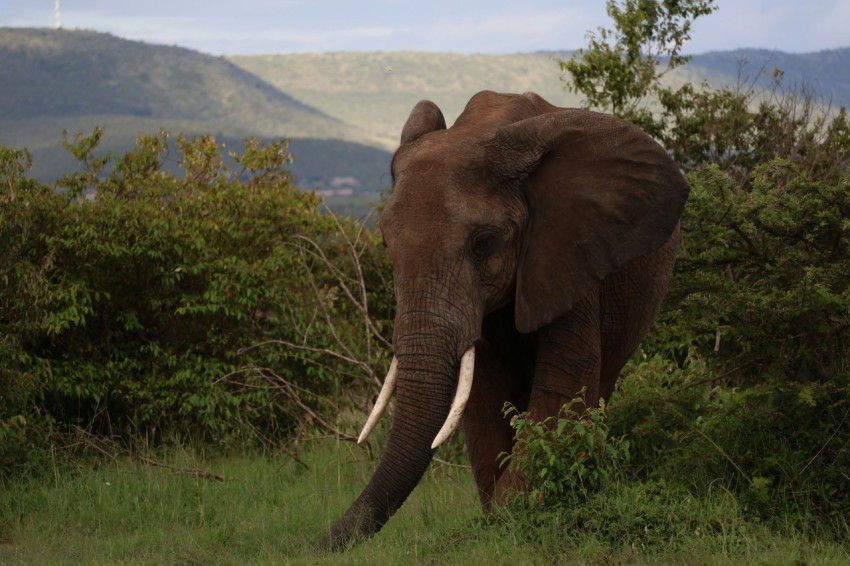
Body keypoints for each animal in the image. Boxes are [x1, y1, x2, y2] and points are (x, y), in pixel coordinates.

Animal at [314, 91, 684, 552]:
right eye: (385, 243)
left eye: (483, 243)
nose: (312, 546)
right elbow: (485, 400)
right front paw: (497, 520)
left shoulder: (569, 250)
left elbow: (561, 391)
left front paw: (506, 519)